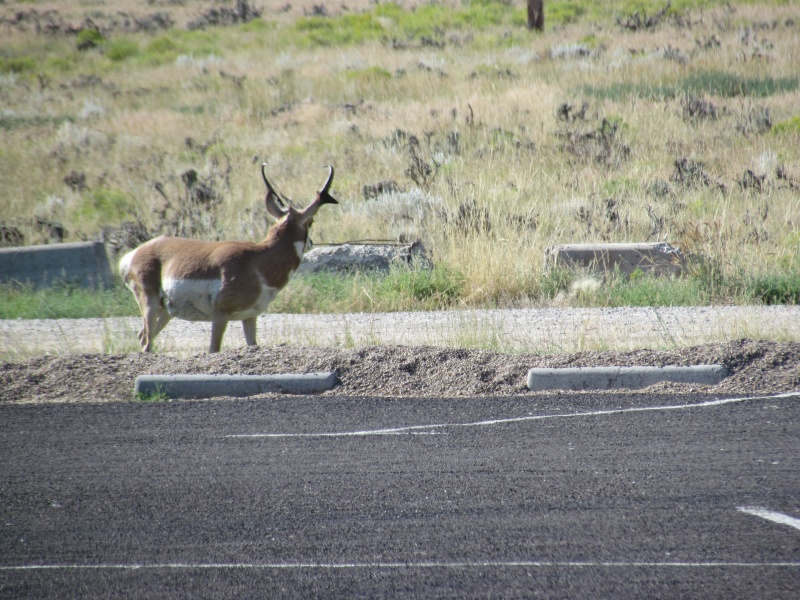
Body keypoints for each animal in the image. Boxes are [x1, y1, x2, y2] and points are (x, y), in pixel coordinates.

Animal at [119, 164, 338, 353]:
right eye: (311, 222)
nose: (312, 242)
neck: (258, 261)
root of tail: (134, 254)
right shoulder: (220, 316)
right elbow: (214, 349)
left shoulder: (249, 318)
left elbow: (252, 343)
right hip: (150, 302)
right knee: (147, 339)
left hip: (165, 311)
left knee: (143, 336)